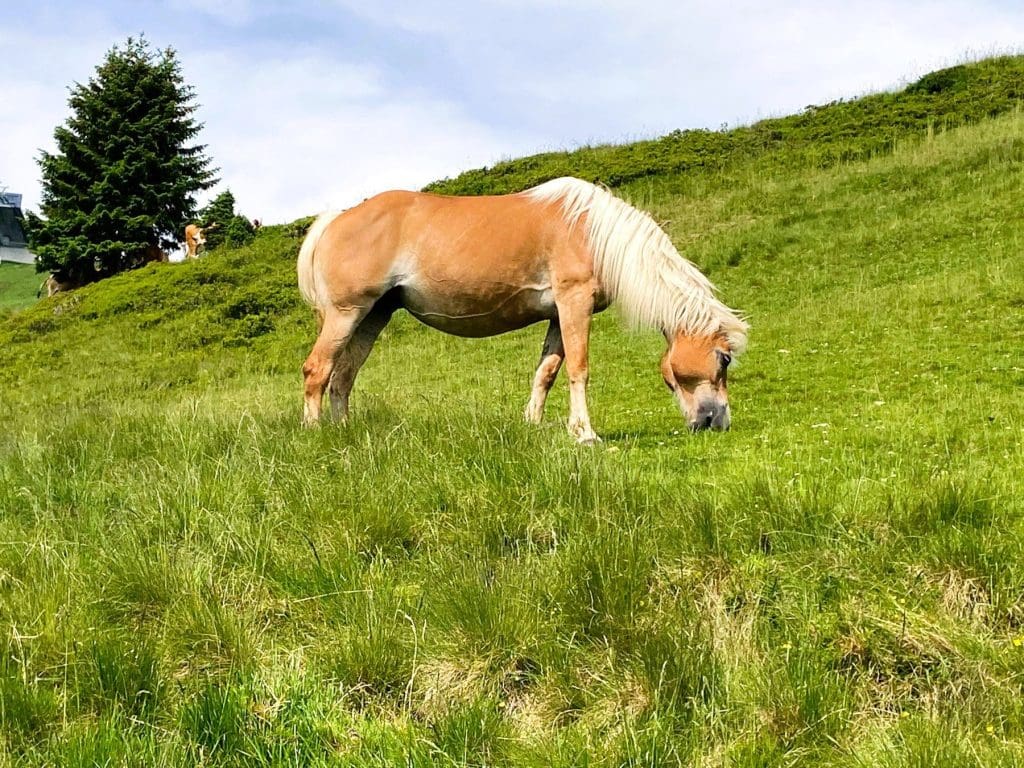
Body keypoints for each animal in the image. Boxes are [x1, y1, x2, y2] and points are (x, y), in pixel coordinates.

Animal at [292, 177, 749, 442]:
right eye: (724, 359)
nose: (718, 423)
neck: (592, 230)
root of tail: (335, 219)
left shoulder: (557, 315)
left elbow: (546, 372)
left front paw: (535, 424)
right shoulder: (574, 302)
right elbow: (579, 368)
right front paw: (586, 435)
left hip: (373, 316)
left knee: (343, 377)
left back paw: (344, 431)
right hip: (346, 313)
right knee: (318, 370)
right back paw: (315, 433)